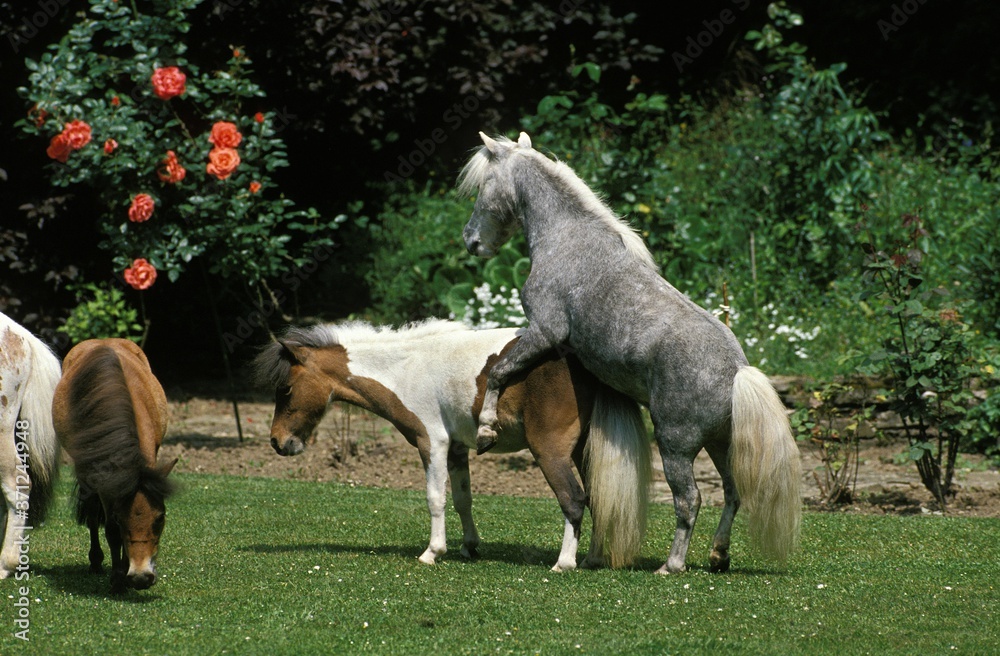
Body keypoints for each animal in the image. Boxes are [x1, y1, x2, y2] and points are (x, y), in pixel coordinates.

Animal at [52, 338, 176, 593]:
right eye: (120, 519)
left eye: (160, 518)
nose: (142, 577)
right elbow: (109, 529)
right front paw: (118, 578)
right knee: (91, 512)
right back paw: (96, 562)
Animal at [252, 319, 651, 571]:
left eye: (285, 389)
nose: (277, 442)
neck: (405, 368)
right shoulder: (459, 450)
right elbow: (462, 499)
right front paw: (468, 546)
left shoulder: (432, 443)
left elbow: (435, 499)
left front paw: (433, 552)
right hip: (584, 451)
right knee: (598, 497)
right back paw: (591, 559)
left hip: (550, 453)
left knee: (573, 498)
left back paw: (564, 563)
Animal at [459, 132, 802, 574]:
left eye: (483, 186)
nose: (471, 242)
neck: (566, 240)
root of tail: (737, 372)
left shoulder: (544, 332)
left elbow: (501, 370)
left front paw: (486, 428)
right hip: (720, 445)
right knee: (732, 492)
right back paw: (718, 554)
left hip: (675, 447)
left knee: (689, 499)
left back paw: (672, 565)